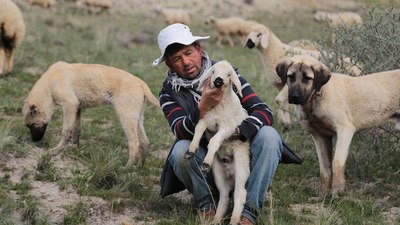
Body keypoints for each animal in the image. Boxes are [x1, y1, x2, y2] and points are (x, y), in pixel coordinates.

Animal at [22, 61, 159, 167]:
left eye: (32, 125)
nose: (34, 141)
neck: (49, 84)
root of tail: (141, 83)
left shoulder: (69, 105)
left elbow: (66, 131)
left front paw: (56, 150)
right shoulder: (77, 108)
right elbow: (76, 130)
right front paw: (75, 148)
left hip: (126, 118)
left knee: (135, 145)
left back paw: (126, 169)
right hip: (137, 119)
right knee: (145, 143)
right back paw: (138, 167)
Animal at [184, 59, 250, 225]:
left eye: (229, 74)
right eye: (213, 71)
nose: (218, 80)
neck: (219, 106)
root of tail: (230, 170)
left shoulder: (227, 128)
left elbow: (214, 141)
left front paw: (206, 162)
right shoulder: (206, 119)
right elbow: (197, 131)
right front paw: (191, 150)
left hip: (241, 165)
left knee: (240, 193)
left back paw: (234, 220)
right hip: (218, 173)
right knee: (224, 195)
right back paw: (216, 220)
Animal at [276, 54, 400, 195]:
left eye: (307, 78)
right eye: (291, 76)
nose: (294, 97)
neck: (318, 95)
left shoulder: (345, 130)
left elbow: (337, 163)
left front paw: (337, 192)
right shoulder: (320, 136)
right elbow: (324, 168)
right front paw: (323, 195)